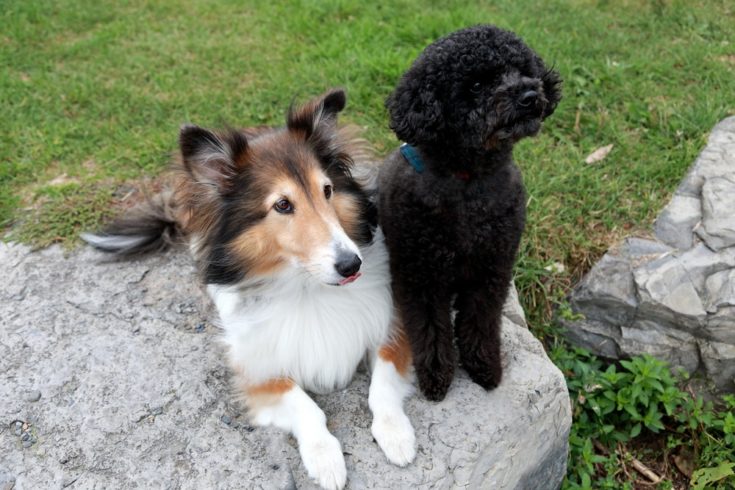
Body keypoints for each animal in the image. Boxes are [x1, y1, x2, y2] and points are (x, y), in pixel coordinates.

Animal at [83, 90, 416, 488]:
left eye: (328, 190)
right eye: (283, 205)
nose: (352, 265)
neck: (306, 286)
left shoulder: (390, 327)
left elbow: (382, 384)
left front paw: (396, 435)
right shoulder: (257, 370)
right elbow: (305, 407)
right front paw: (325, 459)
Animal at [380, 24, 564, 400]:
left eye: (523, 69)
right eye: (477, 85)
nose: (529, 95)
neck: (469, 179)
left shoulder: (491, 267)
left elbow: (480, 320)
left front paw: (484, 366)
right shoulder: (420, 273)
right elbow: (430, 327)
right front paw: (437, 375)